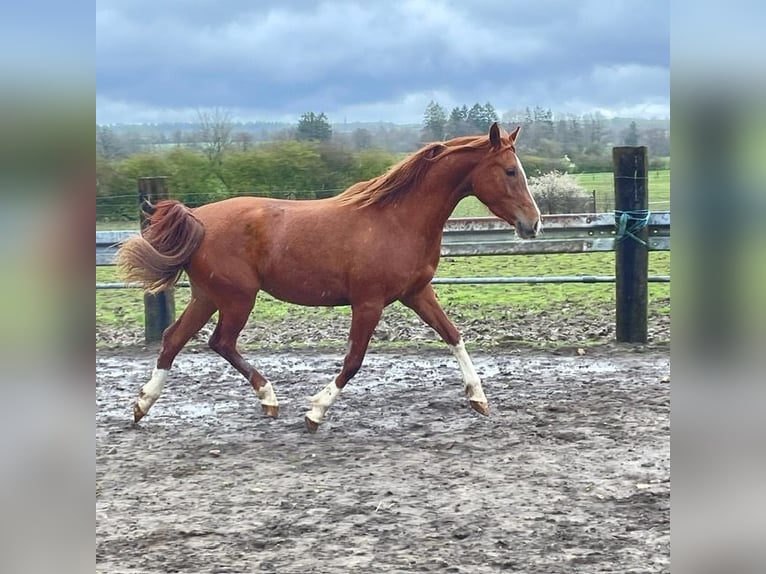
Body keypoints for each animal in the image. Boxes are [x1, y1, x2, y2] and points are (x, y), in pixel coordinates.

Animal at [117, 124, 544, 434]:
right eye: (510, 171)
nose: (533, 224)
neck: (398, 219)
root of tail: (198, 219)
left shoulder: (417, 293)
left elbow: (453, 335)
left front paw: (478, 398)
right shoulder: (368, 303)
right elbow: (354, 360)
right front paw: (315, 412)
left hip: (208, 296)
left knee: (175, 339)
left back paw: (143, 405)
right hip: (237, 297)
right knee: (218, 341)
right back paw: (267, 398)